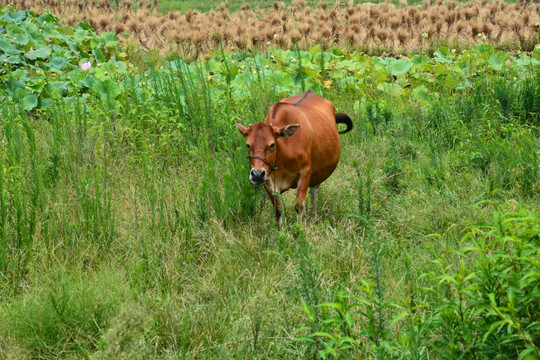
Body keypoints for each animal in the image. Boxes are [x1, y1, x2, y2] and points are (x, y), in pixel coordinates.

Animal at [236, 89, 354, 228]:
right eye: (248, 145)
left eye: (272, 144)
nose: (257, 174)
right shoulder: (268, 181)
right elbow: (278, 210)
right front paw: (281, 232)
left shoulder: (305, 173)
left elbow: (298, 205)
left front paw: (301, 229)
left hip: (317, 174)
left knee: (313, 196)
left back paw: (313, 219)